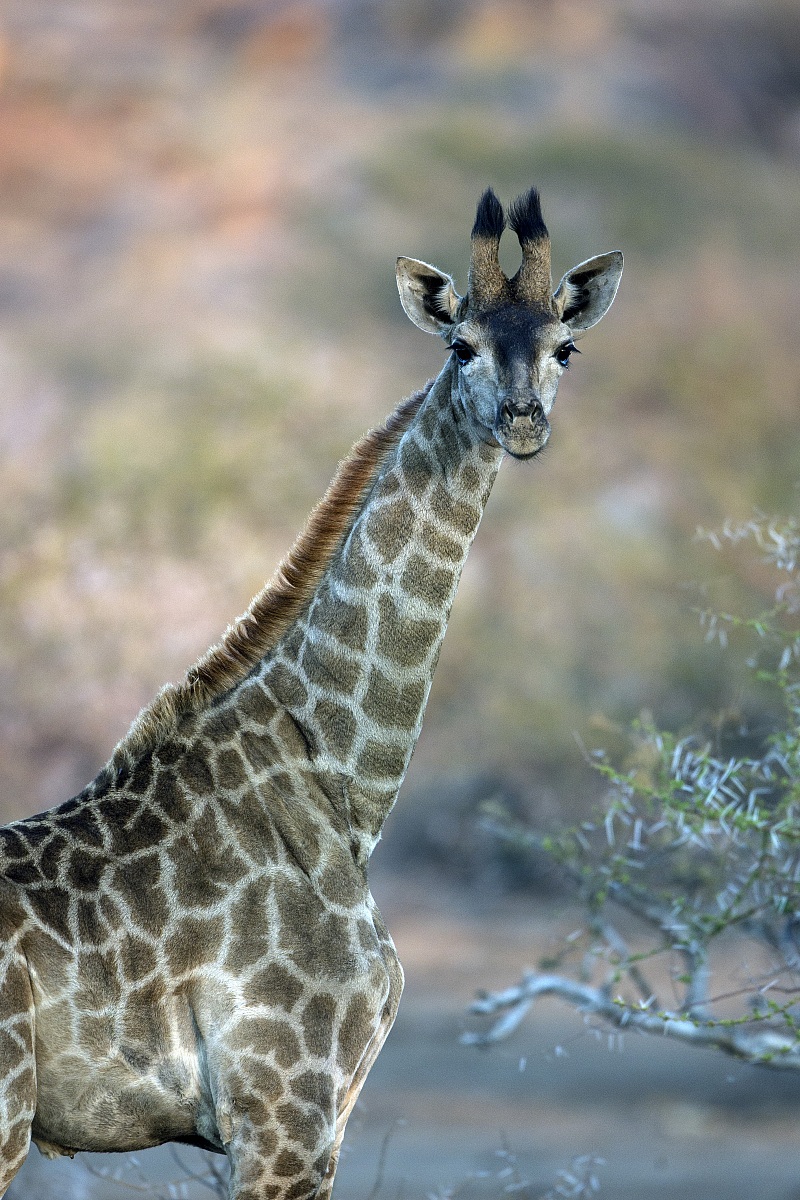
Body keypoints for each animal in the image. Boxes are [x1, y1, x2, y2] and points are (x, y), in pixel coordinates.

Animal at [0, 188, 622, 1199]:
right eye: (461, 345)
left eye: (565, 346)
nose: (523, 420)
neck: (337, 784)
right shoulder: (283, 1108)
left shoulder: (315, 1116)